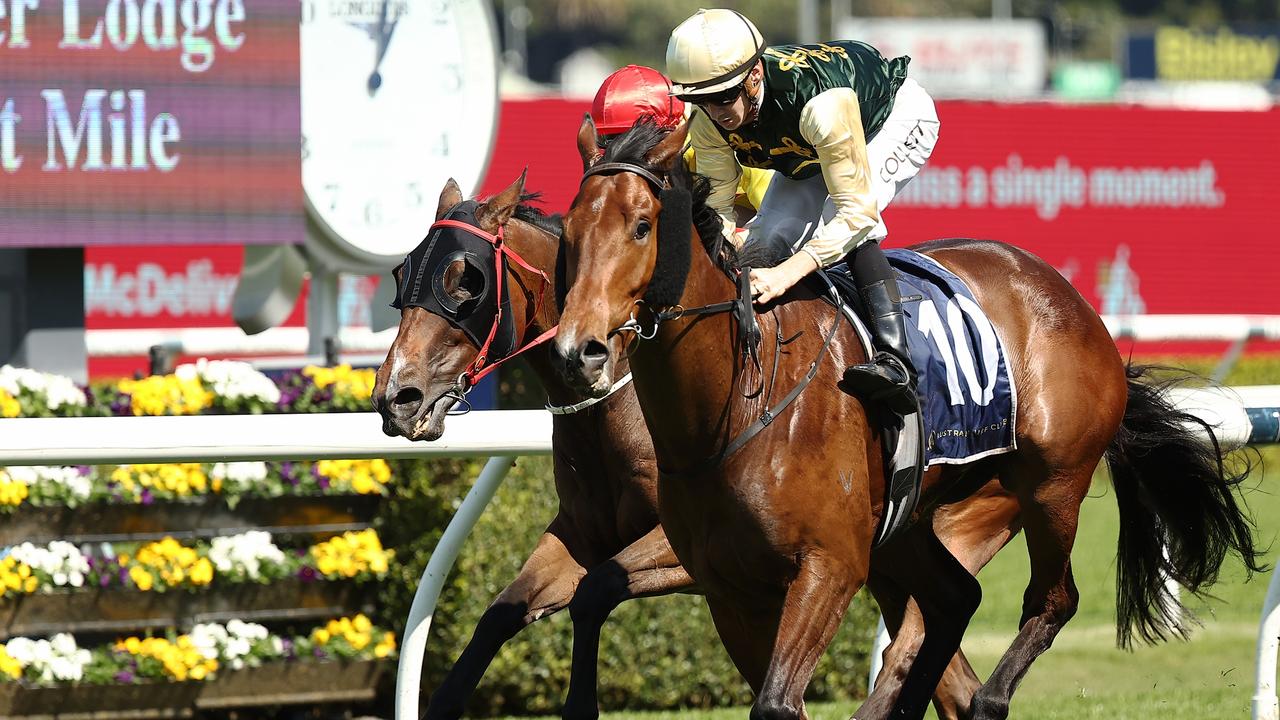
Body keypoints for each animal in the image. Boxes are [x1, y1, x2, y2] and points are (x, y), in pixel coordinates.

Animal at [368, 170, 1018, 712]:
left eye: (465, 282)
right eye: (402, 275)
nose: (395, 396)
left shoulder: (685, 549)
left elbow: (595, 590)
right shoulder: (582, 531)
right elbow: (499, 615)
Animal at [550, 119, 1259, 717]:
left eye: (642, 225)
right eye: (571, 230)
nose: (578, 351)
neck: (734, 409)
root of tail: (1070, 298)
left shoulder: (829, 566)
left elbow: (776, 703)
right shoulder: (727, 586)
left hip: (1050, 484)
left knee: (1052, 600)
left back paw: (989, 699)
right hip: (907, 522)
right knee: (955, 600)